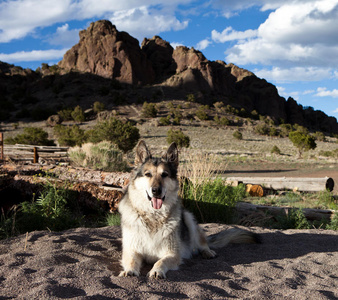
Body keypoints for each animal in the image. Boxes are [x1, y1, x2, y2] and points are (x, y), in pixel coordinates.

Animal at [117, 141, 258, 278]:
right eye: (148, 174)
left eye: (164, 175)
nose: (156, 191)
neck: (153, 216)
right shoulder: (131, 250)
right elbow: (132, 261)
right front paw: (129, 270)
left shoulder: (172, 254)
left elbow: (160, 261)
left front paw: (156, 271)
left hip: (188, 218)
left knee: (202, 243)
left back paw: (208, 252)